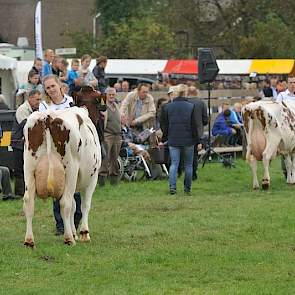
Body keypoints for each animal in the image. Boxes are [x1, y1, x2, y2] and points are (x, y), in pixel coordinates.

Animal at [23, 107, 102, 247]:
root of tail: (48, 116)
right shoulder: (92, 179)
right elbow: (84, 205)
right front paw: (83, 233)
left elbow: (74, 206)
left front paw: (75, 233)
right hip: (71, 169)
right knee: (65, 203)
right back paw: (69, 238)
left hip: (29, 167)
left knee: (28, 202)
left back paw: (29, 240)